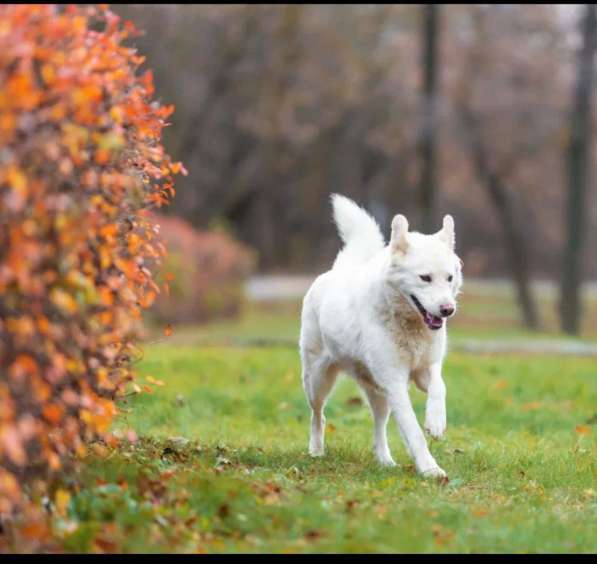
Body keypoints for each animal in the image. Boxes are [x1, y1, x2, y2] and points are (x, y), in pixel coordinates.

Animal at [300, 194, 464, 476]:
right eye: (425, 278)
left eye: (449, 278)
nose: (447, 310)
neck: (409, 325)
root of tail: (338, 269)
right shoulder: (395, 382)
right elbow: (413, 431)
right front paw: (429, 469)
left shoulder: (425, 370)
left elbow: (439, 386)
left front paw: (436, 422)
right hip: (318, 382)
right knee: (318, 416)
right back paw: (316, 451)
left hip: (378, 392)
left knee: (379, 426)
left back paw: (385, 461)